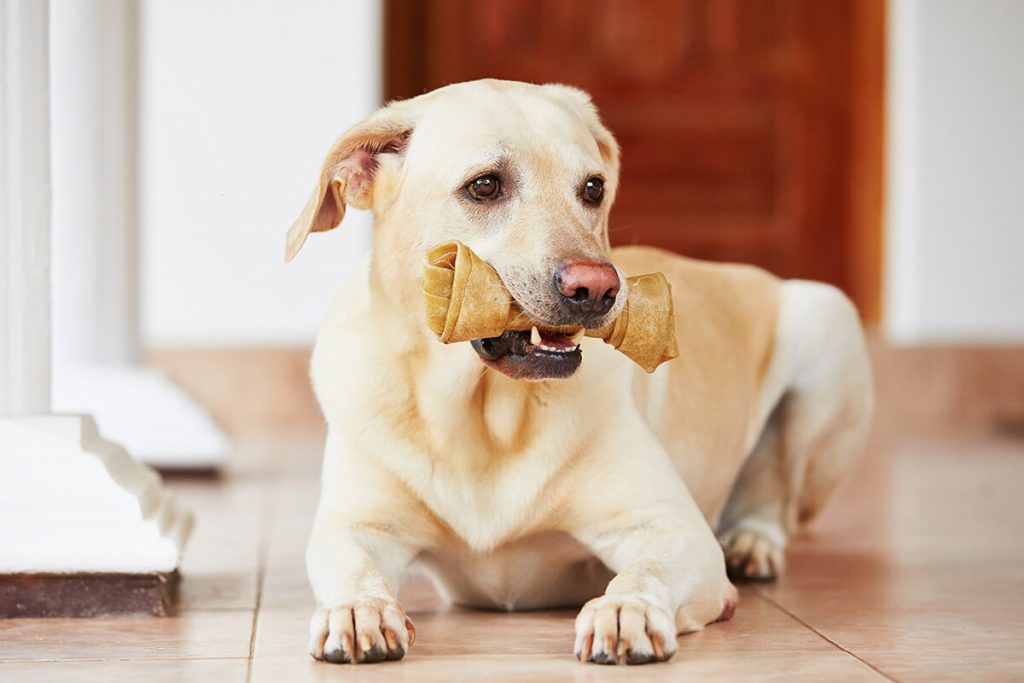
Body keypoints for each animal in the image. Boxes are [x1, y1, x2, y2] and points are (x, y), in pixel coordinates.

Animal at [286, 77, 872, 663]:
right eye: (484, 186)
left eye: (593, 188)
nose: (598, 288)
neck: (482, 419)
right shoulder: (352, 526)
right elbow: (355, 570)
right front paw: (357, 609)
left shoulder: (675, 528)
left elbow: (644, 572)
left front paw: (627, 610)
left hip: (826, 321)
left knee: (776, 499)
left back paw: (752, 542)